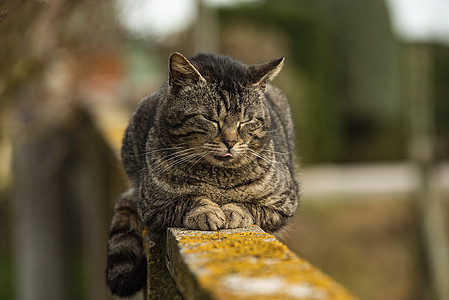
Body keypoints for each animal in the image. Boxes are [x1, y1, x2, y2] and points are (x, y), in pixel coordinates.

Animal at [104, 52, 298, 296]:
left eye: (245, 121)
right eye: (211, 119)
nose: (230, 142)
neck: (219, 178)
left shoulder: (285, 203)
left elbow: (250, 205)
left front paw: (233, 211)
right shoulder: (152, 206)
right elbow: (189, 199)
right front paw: (207, 211)